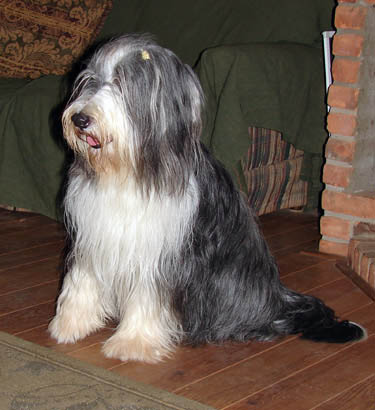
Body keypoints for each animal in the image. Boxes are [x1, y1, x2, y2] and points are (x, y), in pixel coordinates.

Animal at [47, 34, 368, 362]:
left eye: (122, 82)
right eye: (90, 80)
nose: (80, 118)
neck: (128, 170)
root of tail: (278, 297)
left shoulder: (160, 251)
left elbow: (148, 295)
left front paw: (133, 343)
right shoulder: (94, 231)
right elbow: (82, 277)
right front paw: (71, 323)